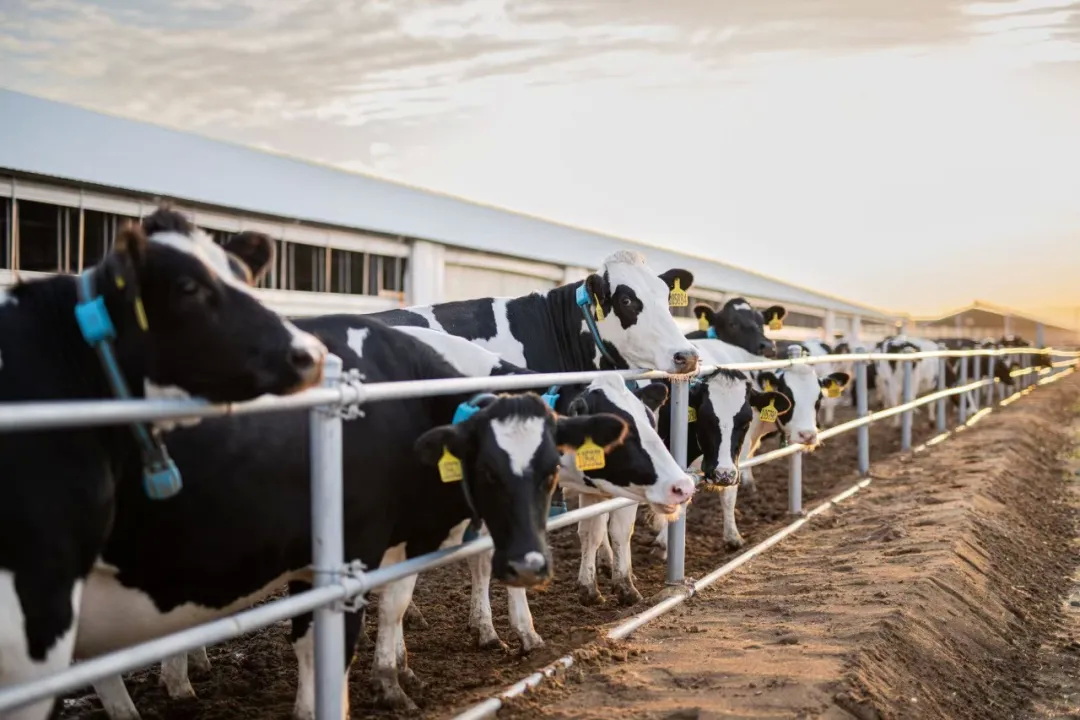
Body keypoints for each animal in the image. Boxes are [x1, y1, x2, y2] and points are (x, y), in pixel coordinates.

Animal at [79, 316, 633, 719]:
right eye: (487, 471)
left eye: (549, 470)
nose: (529, 566)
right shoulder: (341, 557)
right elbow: (323, 646)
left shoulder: (393, 541)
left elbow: (393, 605)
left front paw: (395, 677)